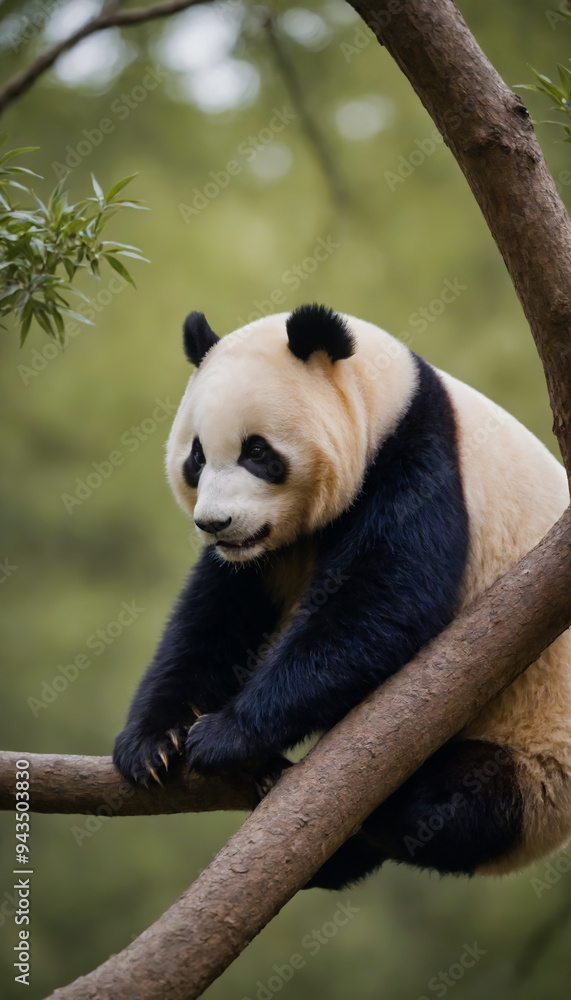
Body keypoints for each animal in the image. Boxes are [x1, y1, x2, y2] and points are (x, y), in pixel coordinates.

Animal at [113, 303, 571, 890]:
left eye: (256, 451)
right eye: (196, 457)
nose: (215, 524)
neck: (386, 398)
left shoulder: (419, 456)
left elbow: (382, 602)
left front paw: (224, 736)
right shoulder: (261, 554)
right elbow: (214, 619)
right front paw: (152, 743)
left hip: (537, 758)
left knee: (455, 799)